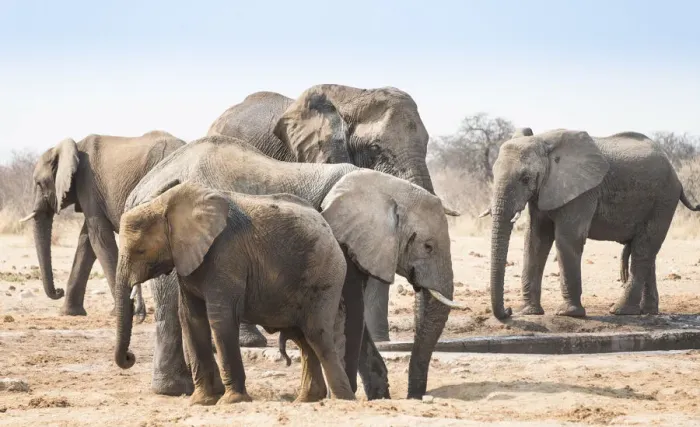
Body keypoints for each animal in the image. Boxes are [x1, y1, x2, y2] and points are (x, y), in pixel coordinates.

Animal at [20, 131, 185, 316]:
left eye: (39, 183)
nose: (58, 291)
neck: (72, 147)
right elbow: (86, 241)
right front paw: (70, 313)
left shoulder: (88, 183)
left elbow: (99, 237)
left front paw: (120, 312)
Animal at [114, 182, 354, 404]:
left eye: (140, 251)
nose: (129, 357)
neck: (164, 203)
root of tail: (329, 230)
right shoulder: (187, 259)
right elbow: (192, 319)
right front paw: (201, 402)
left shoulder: (226, 254)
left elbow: (220, 319)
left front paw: (231, 401)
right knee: (303, 338)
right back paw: (306, 400)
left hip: (325, 275)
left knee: (317, 335)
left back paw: (342, 400)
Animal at [482, 128, 700, 320]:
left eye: (525, 178)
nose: (508, 311)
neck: (544, 142)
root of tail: (676, 175)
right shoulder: (544, 191)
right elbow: (536, 240)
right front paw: (529, 312)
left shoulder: (583, 191)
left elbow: (567, 239)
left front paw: (568, 314)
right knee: (647, 251)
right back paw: (647, 312)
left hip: (664, 200)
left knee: (643, 250)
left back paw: (621, 311)